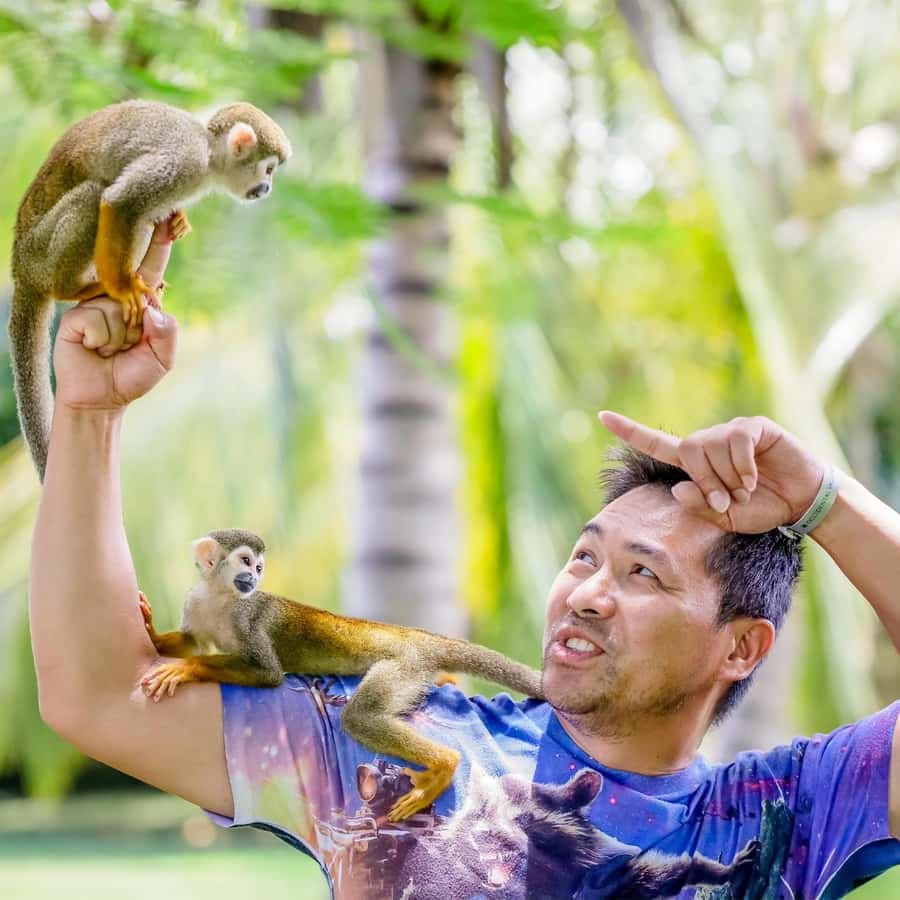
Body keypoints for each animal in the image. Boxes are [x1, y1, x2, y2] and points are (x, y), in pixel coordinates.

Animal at [9, 100, 291, 481]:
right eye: (269, 169)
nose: (267, 188)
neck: (208, 153)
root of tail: (19, 267)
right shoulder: (183, 162)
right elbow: (119, 201)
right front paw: (121, 288)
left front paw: (177, 221)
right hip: (40, 253)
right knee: (96, 195)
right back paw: (73, 286)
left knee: (139, 217)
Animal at [138, 529, 544, 822]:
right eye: (246, 561)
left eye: (258, 568)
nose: (252, 577)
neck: (221, 598)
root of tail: (415, 635)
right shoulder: (195, 601)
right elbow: (192, 642)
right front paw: (155, 635)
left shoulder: (249, 617)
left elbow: (268, 672)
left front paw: (188, 669)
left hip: (402, 667)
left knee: (360, 717)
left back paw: (444, 764)